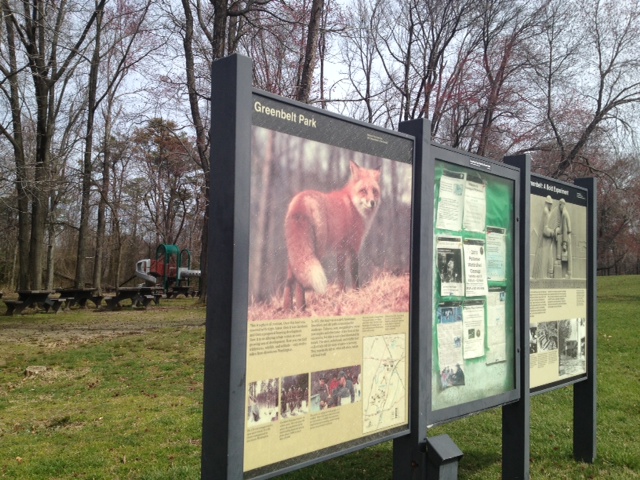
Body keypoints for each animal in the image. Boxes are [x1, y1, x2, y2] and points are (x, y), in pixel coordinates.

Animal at [284, 161, 380, 312]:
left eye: (375, 191)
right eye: (364, 190)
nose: (372, 202)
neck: (353, 205)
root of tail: (301, 199)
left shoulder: (340, 249)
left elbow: (341, 276)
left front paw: (342, 295)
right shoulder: (353, 247)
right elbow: (354, 274)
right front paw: (356, 294)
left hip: (296, 251)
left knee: (290, 276)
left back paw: (288, 308)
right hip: (317, 249)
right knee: (299, 283)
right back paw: (302, 308)